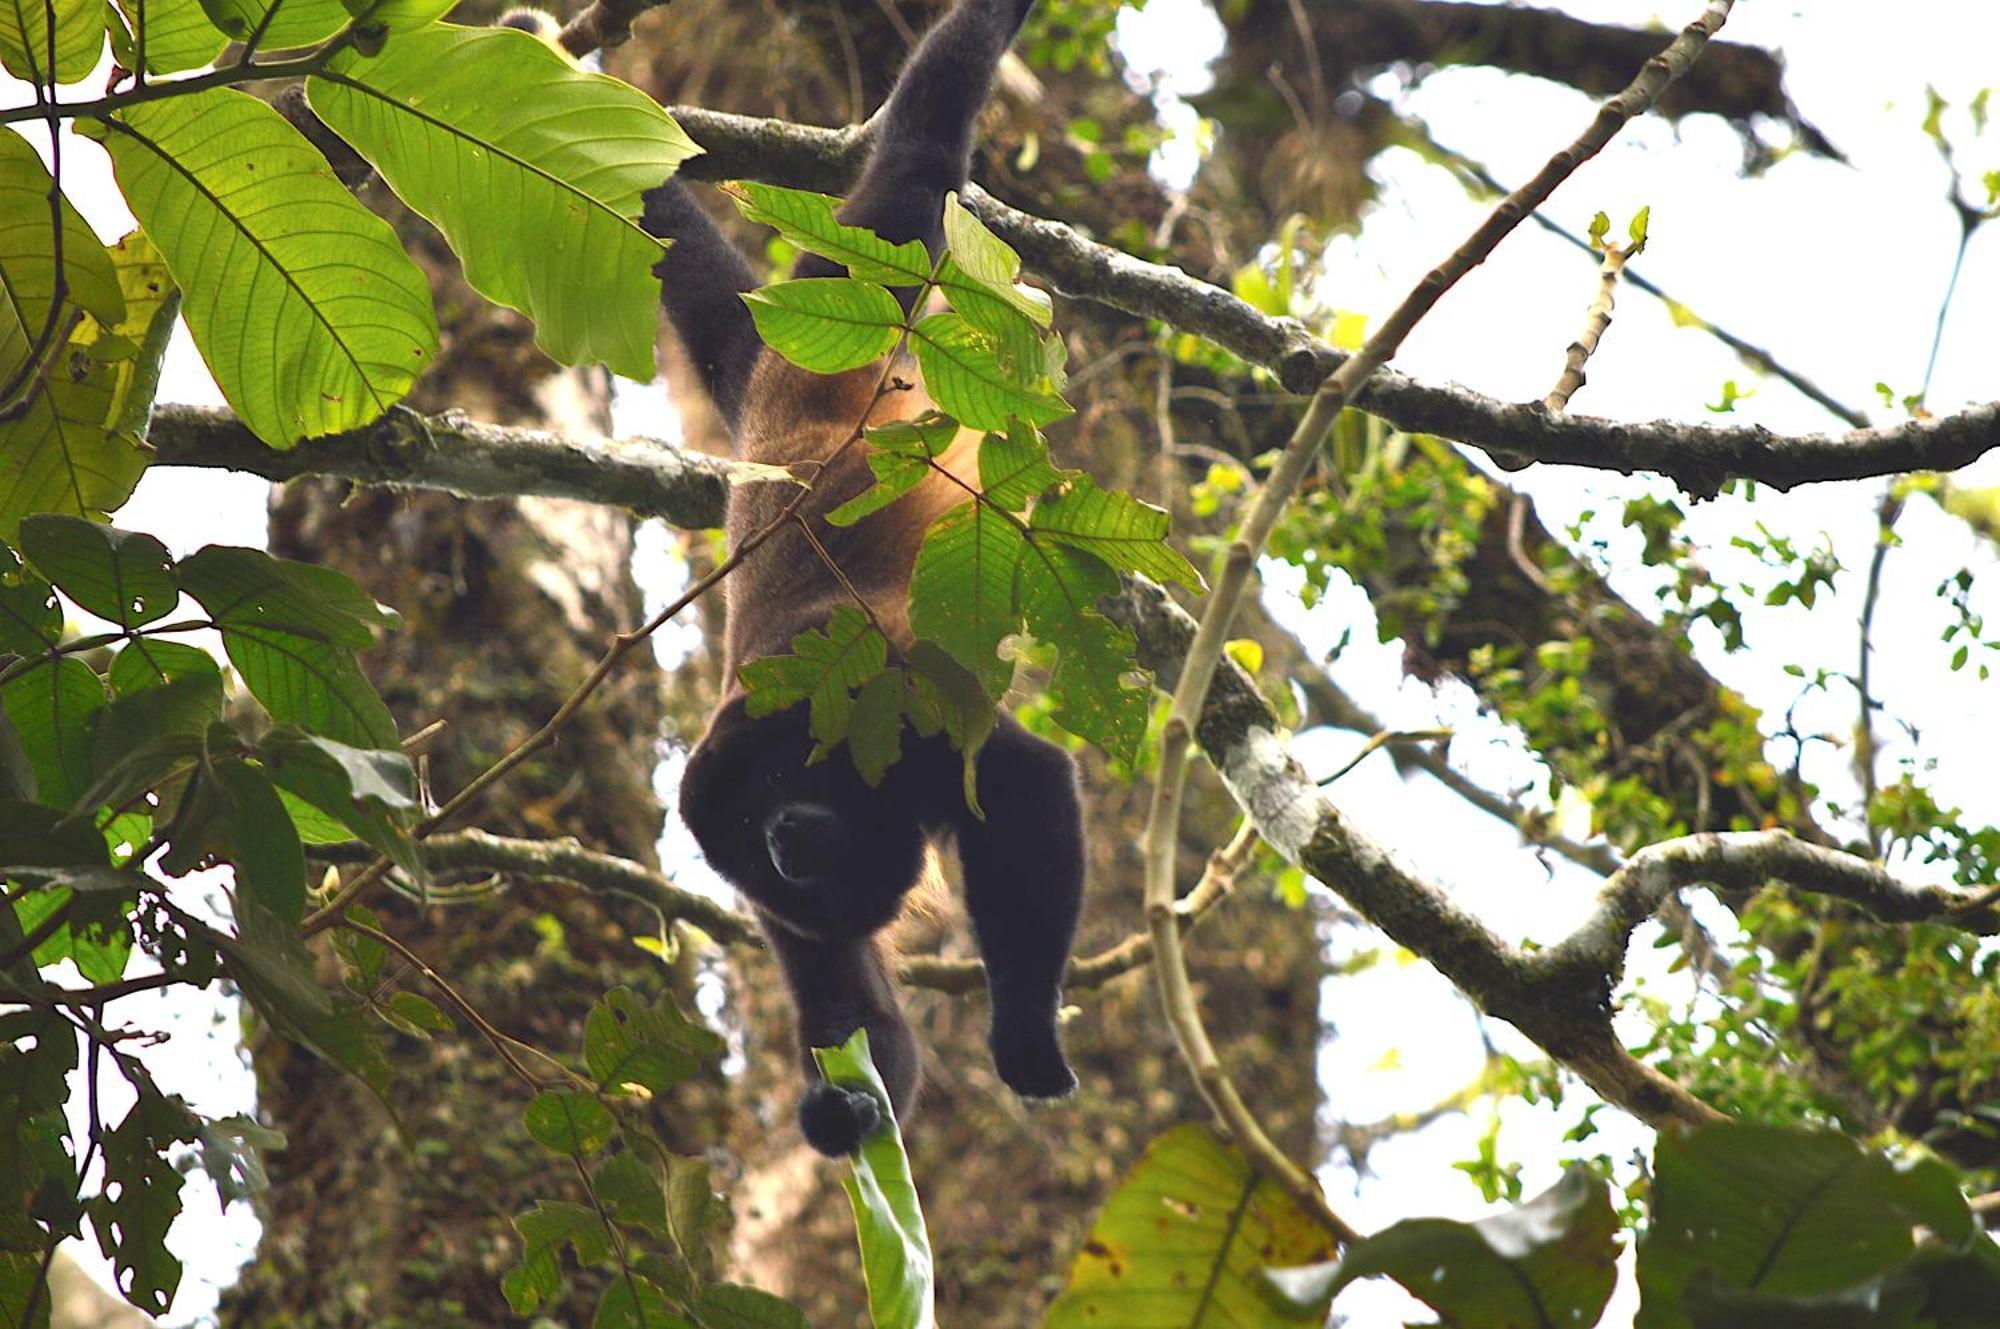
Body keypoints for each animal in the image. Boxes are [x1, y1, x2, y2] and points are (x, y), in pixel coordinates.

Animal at [644, 0, 1088, 1160]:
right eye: (748, 843)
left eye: (771, 792)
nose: (784, 841)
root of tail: (773, 367)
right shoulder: (774, 905)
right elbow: (856, 1004)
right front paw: (838, 1106)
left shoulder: (883, 698)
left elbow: (1022, 782)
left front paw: (1025, 1039)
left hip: (868, 268)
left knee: (916, 163)